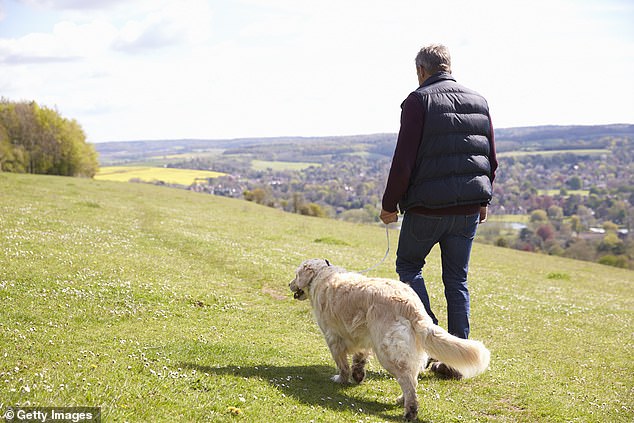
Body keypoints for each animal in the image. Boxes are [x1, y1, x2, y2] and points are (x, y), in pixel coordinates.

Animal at [288, 258, 488, 420]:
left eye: (296, 275)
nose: (290, 284)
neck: (322, 275)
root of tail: (411, 305)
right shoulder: (363, 335)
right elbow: (359, 357)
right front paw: (358, 374)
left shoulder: (333, 338)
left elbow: (342, 364)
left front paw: (341, 379)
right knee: (412, 379)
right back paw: (401, 400)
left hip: (387, 352)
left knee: (408, 382)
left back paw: (410, 411)